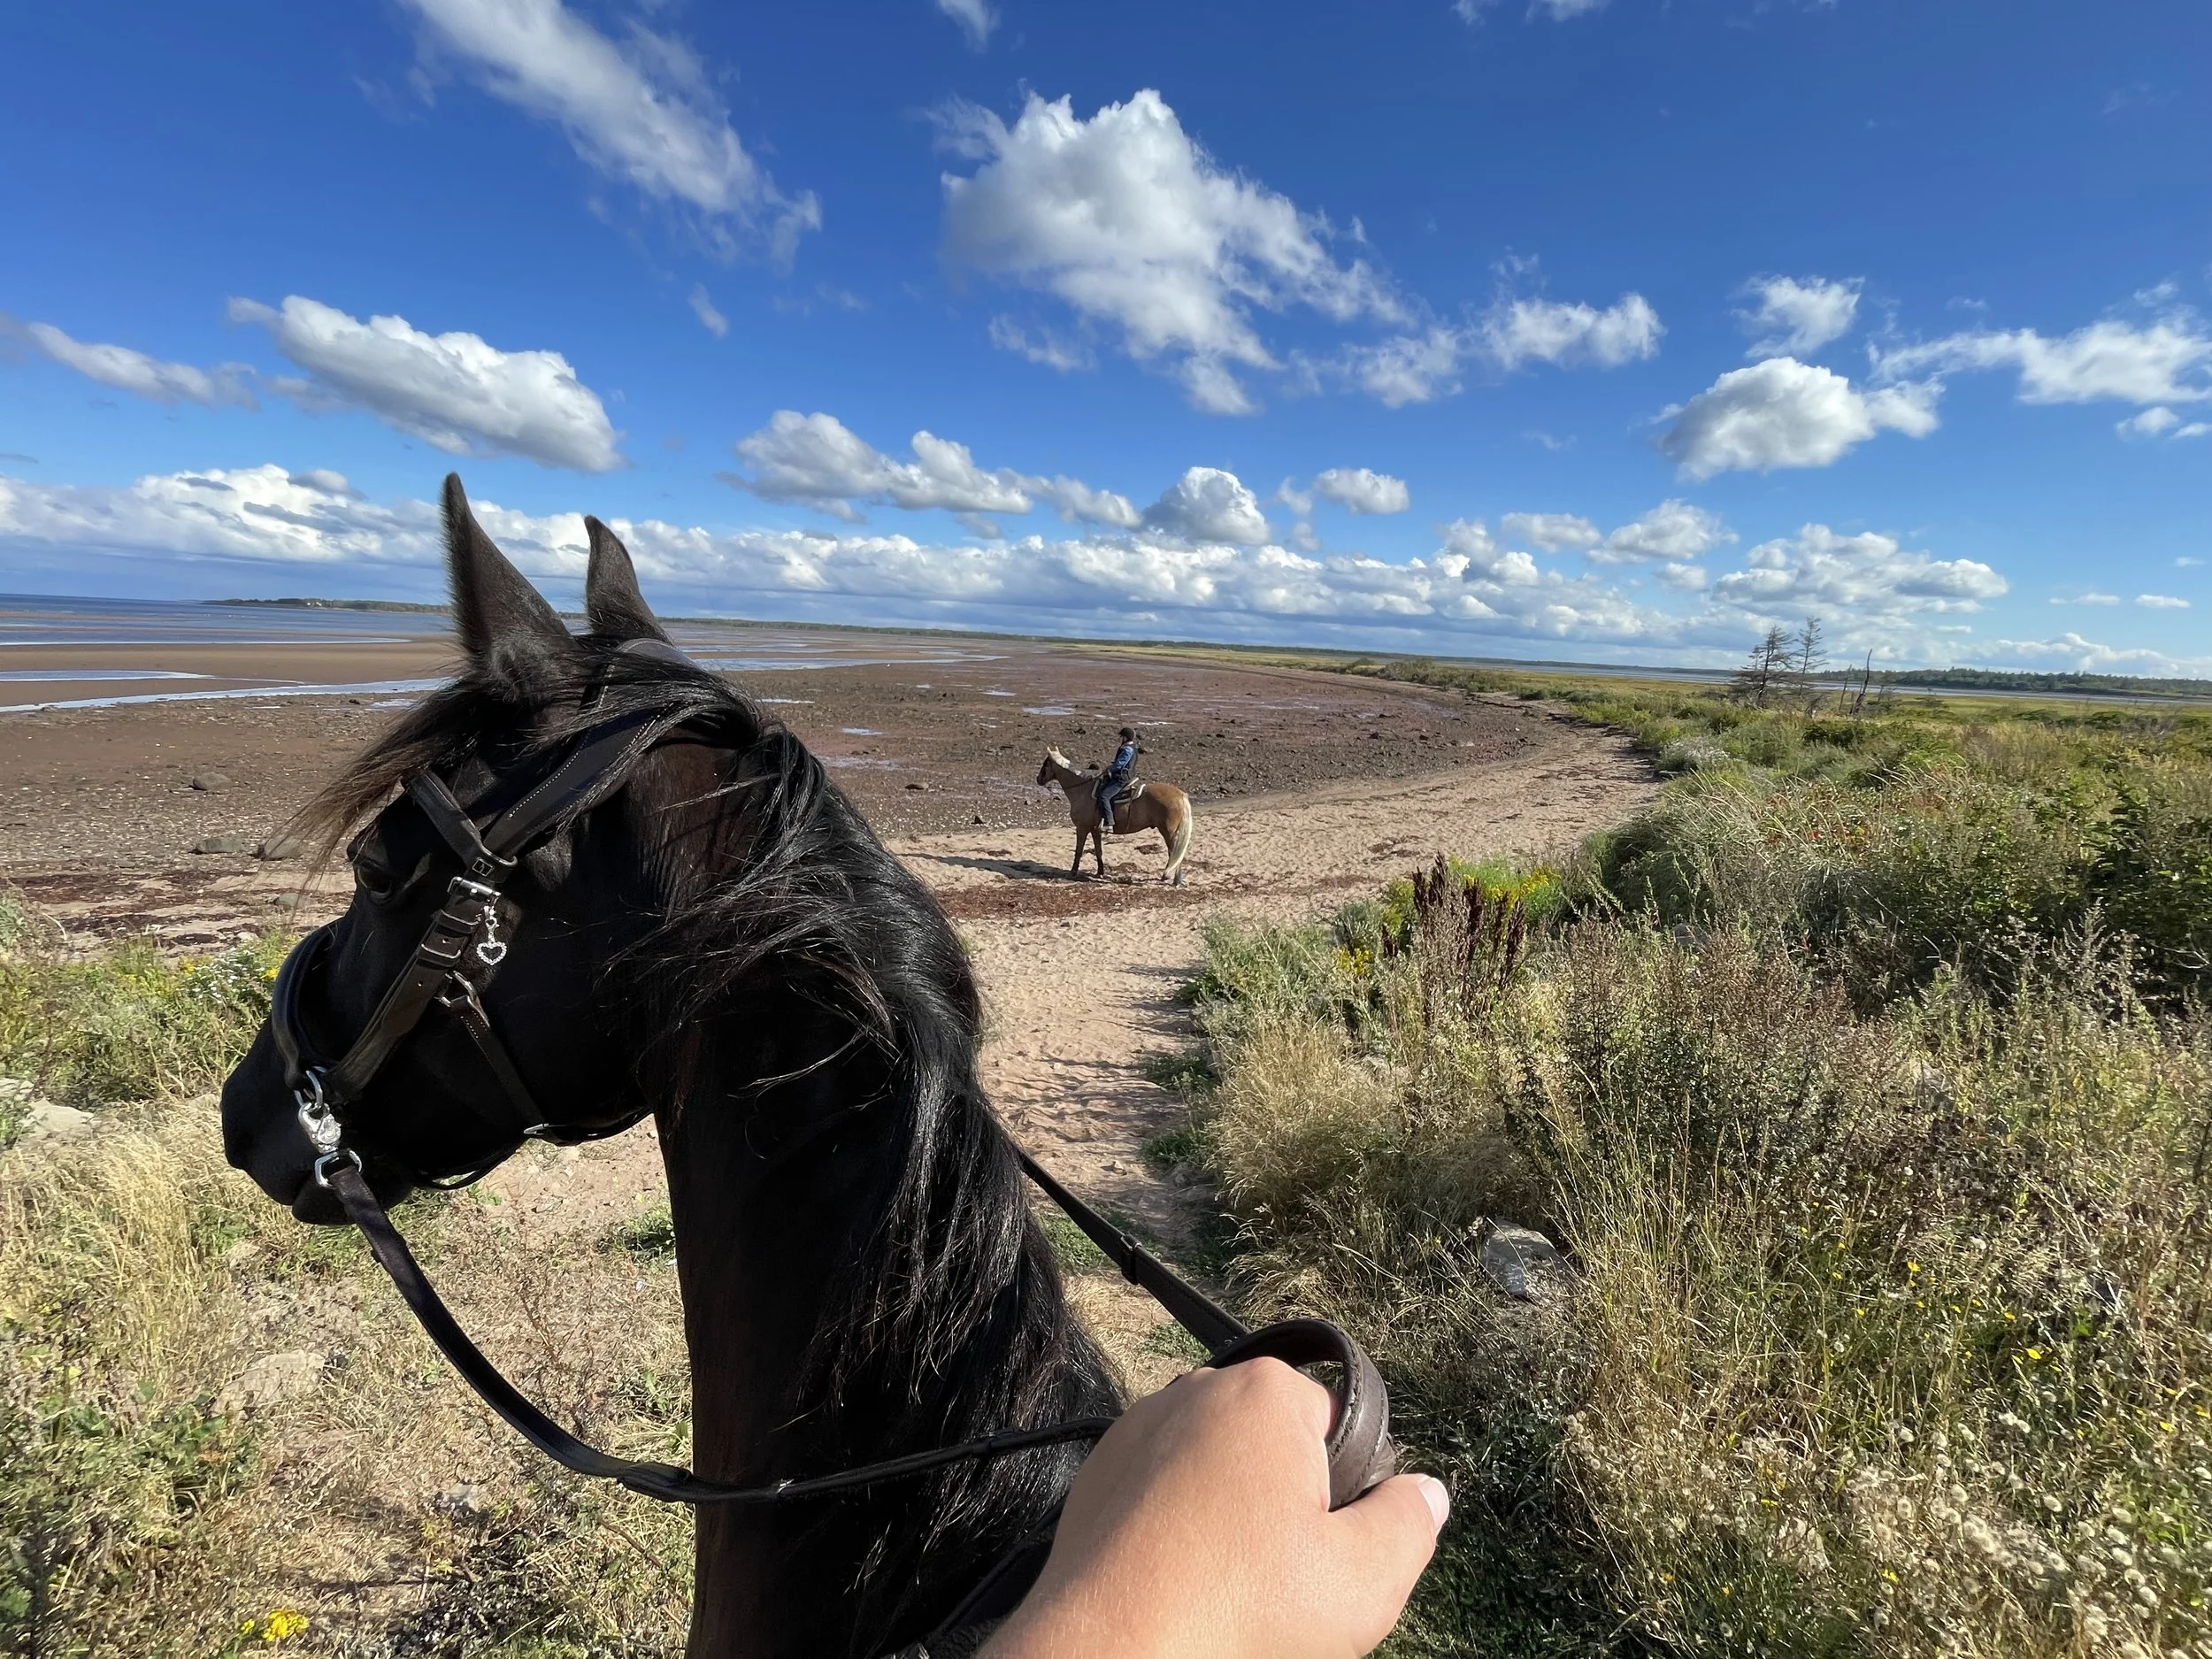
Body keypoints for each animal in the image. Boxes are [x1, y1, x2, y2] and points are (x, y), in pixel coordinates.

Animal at [1034, 749, 1194, 885]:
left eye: (1045, 764)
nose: (1038, 779)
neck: (1083, 789)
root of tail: (1180, 795)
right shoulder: (1095, 829)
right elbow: (1098, 851)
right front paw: (1100, 872)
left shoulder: (1082, 828)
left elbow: (1079, 850)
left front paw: (1073, 872)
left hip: (1168, 831)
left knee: (1174, 852)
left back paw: (1173, 879)